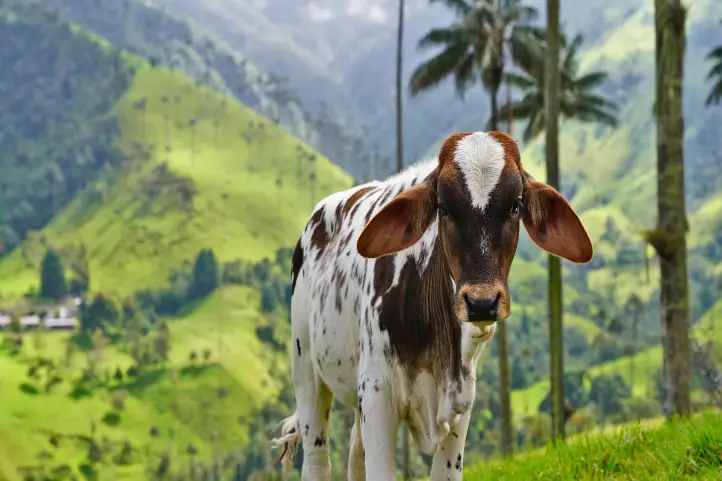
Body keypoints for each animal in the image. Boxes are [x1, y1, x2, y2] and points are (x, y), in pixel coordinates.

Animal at [270, 131, 592, 480]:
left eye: (515, 205)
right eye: (444, 208)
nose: (481, 303)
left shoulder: (461, 401)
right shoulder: (377, 393)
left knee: (355, 455)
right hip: (306, 369)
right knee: (317, 458)